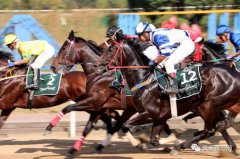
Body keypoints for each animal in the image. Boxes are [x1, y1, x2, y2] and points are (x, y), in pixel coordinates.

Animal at [97, 39, 240, 155]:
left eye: (110, 49)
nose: (97, 66)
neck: (143, 81)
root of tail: (235, 75)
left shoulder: (150, 113)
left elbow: (126, 125)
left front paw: (142, 142)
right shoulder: (160, 117)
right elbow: (153, 140)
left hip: (209, 105)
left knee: (210, 130)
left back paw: (182, 146)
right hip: (206, 107)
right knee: (214, 128)